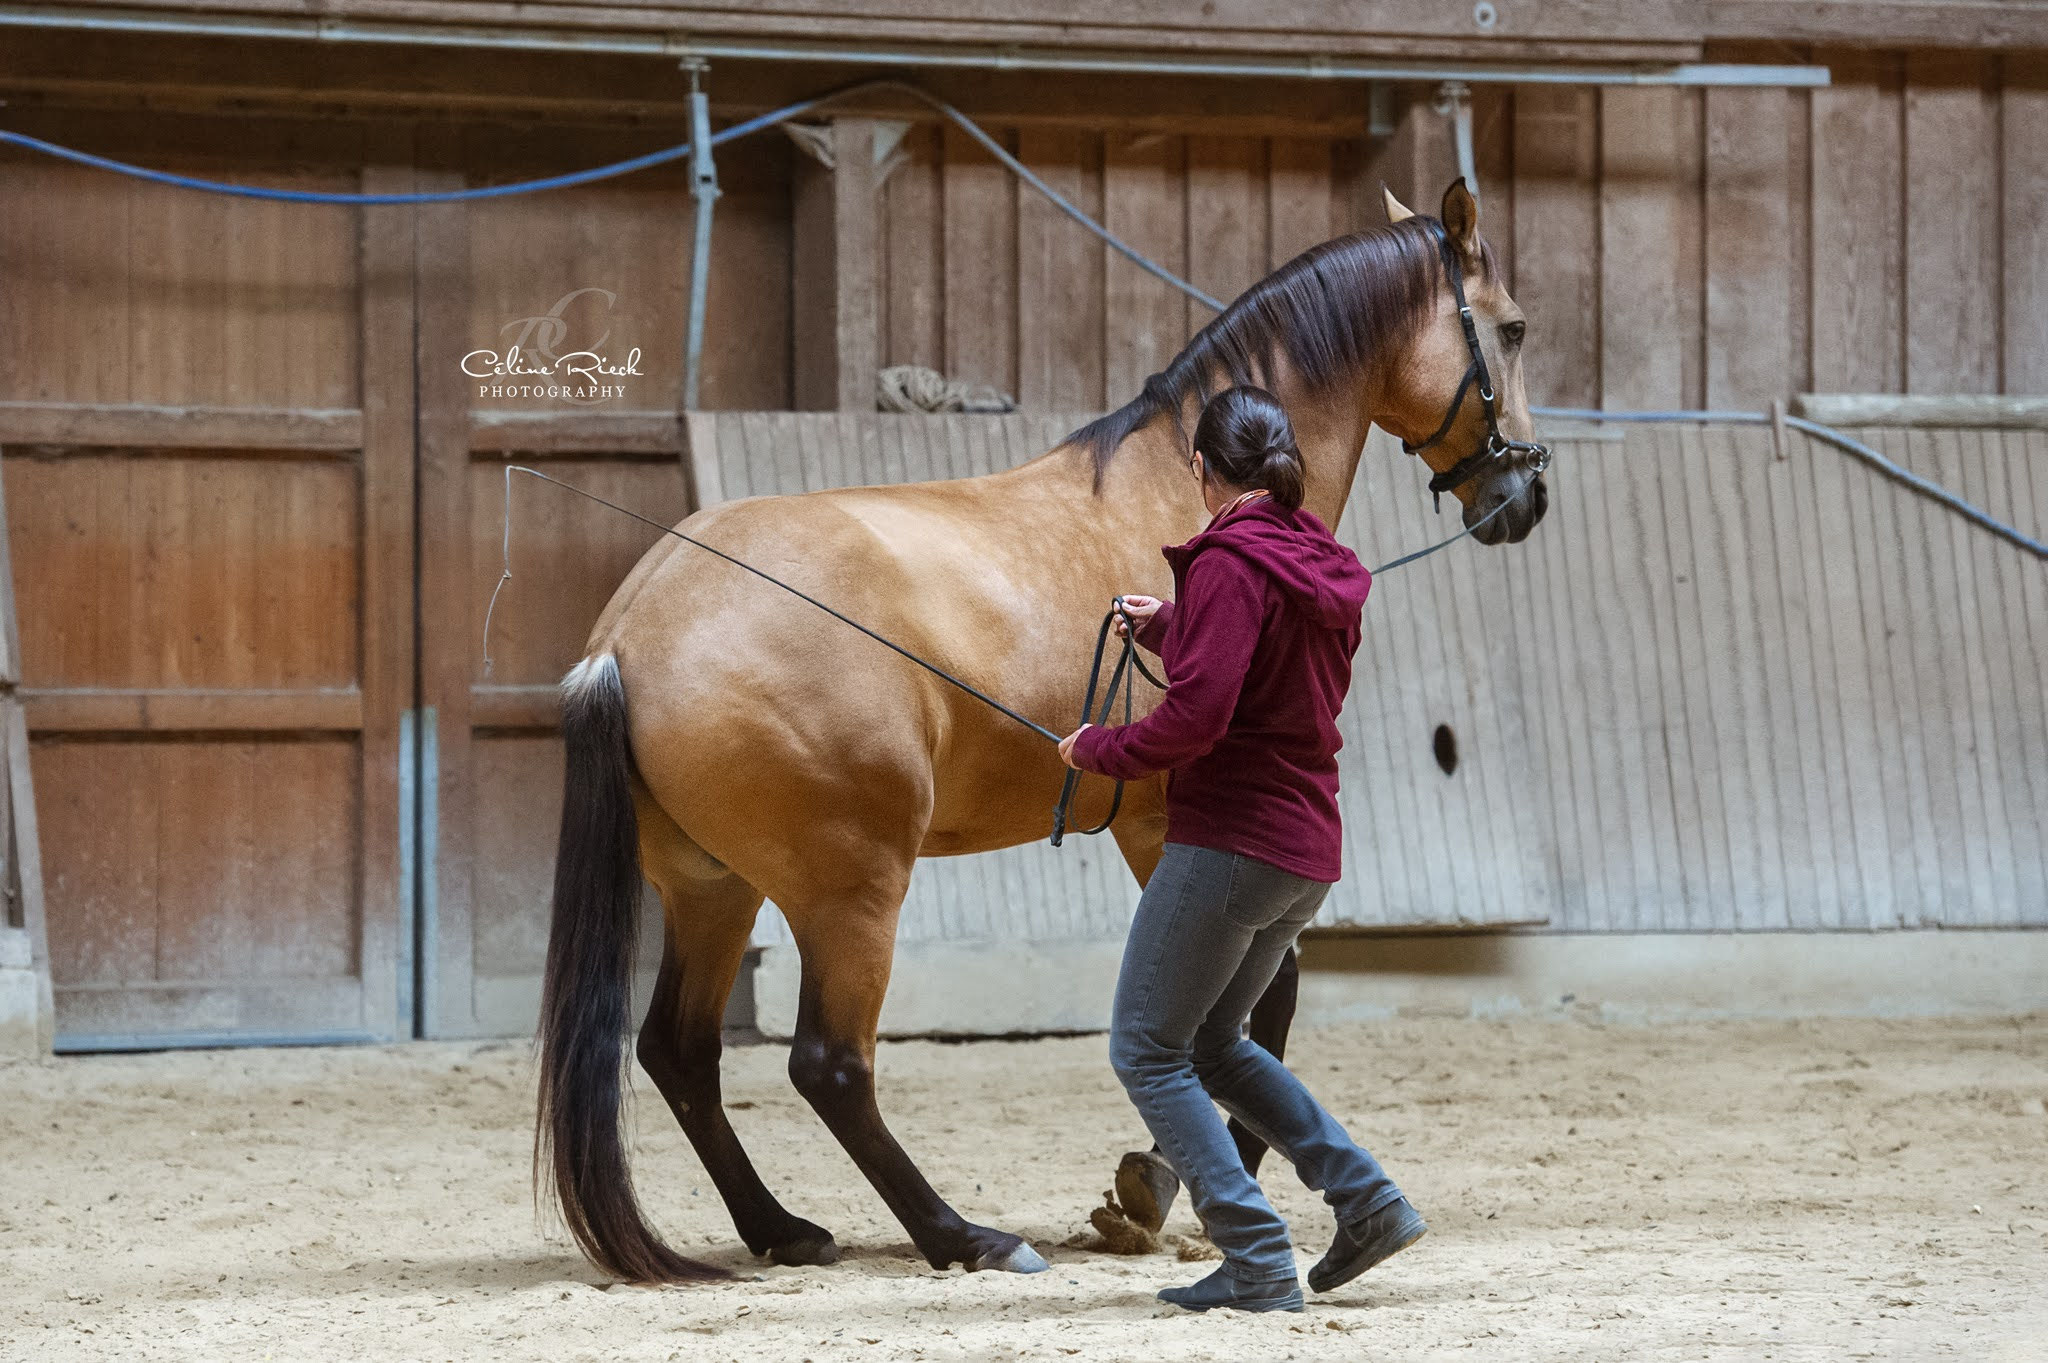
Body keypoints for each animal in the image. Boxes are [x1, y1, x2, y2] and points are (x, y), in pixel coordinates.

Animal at [535, 179, 1549, 1283]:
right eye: (1510, 328)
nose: (1524, 492)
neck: (1178, 497)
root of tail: (633, 630)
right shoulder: (1170, 830)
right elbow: (1245, 1008)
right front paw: (1171, 1187)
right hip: (850, 893)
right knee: (830, 1066)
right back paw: (964, 1236)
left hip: (714, 888)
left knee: (680, 1053)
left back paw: (784, 1228)